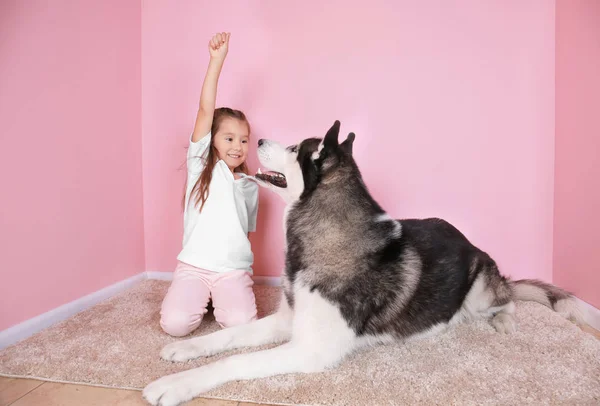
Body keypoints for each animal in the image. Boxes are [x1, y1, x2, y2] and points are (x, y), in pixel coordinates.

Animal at [143, 120, 584, 406]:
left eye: (294, 149)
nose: (261, 137)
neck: (325, 233)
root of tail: (469, 241)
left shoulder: (311, 349)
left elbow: (236, 360)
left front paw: (174, 385)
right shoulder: (288, 321)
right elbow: (230, 338)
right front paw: (188, 349)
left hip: (480, 290)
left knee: (509, 297)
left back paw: (505, 320)